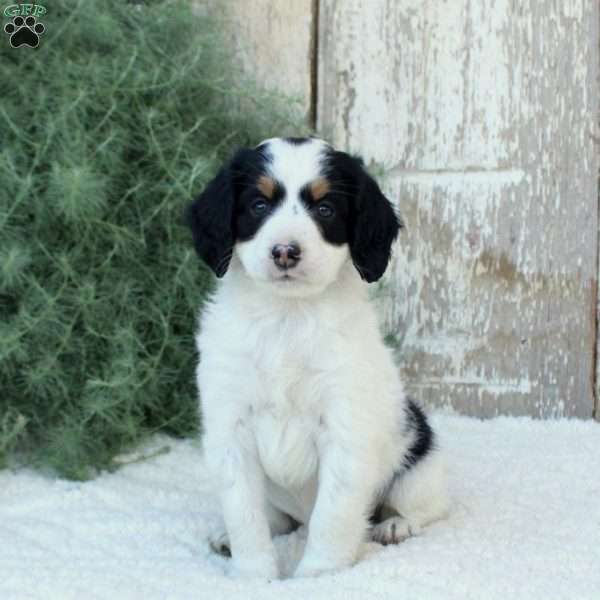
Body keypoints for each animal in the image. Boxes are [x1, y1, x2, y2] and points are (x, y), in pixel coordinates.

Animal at [185, 136, 448, 576]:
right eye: (259, 205)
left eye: (325, 209)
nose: (285, 252)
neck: (287, 318)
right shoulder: (231, 429)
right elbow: (244, 513)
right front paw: (252, 575)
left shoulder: (345, 429)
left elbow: (334, 515)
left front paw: (318, 575)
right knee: (277, 518)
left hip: (418, 458)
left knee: (428, 507)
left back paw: (396, 525)